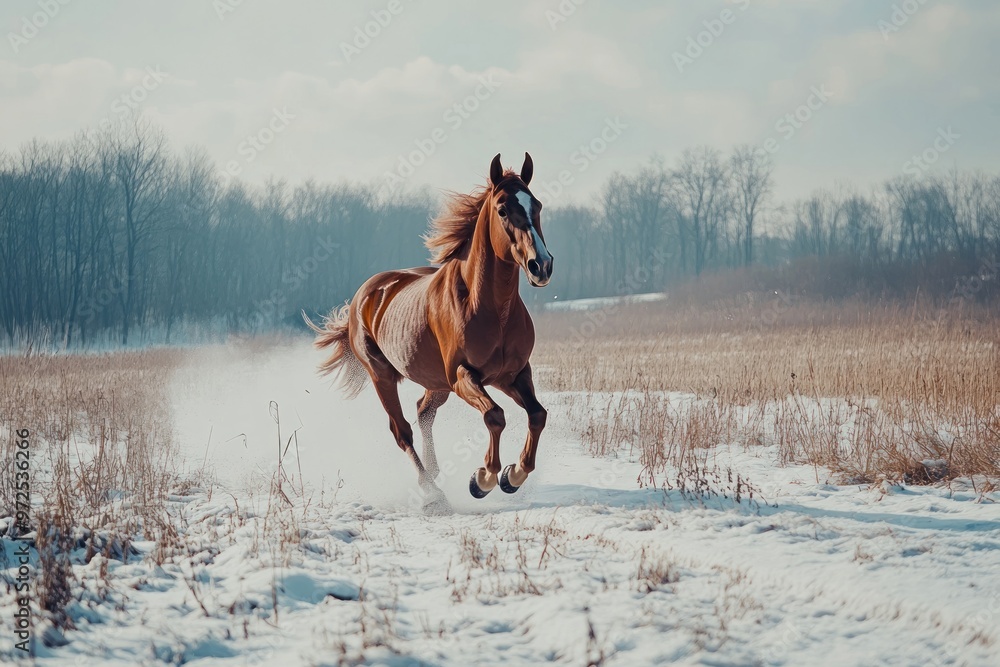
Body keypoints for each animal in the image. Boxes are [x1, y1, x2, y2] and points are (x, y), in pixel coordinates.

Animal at [306, 154, 556, 516]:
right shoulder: (464, 376)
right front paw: (483, 479)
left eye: (536, 205)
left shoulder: (513, 374)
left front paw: (513, 475)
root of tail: (364, 295)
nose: (542, 265)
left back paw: (436, 472)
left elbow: (537, 415)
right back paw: (434, 493)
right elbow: (494, 416)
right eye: (502, 209)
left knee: (424, 411)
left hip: (435, 383)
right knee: (402, 431)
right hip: (384, 376)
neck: (490, 308)